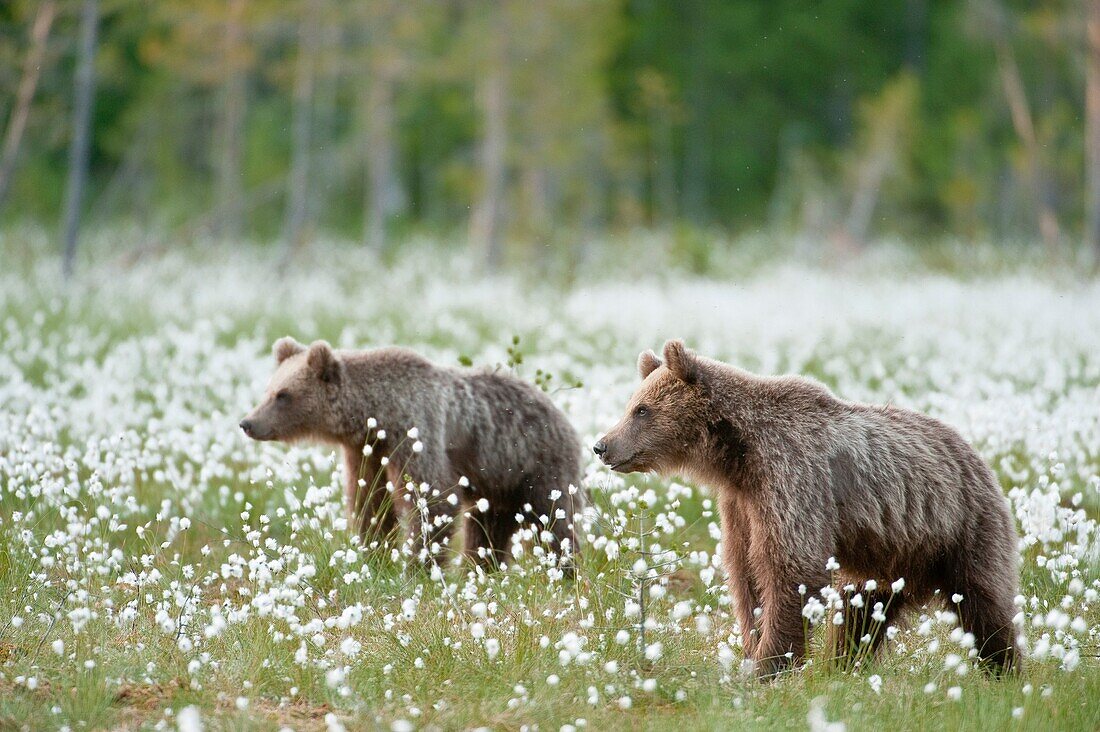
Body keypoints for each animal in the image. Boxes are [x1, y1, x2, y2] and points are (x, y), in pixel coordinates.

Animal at [240, 336, 585, 572]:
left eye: (283, 395)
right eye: (269, 390)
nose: (248, 423)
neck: (377, 414)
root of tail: (561, 415)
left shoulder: (415, 431)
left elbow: (432, 499)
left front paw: (418, 567)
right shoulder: (366, 450)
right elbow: (370, 502)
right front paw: (374, 553)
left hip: (537, 464)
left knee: (553, 519)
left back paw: (565, 570)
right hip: (497, 482)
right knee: (488, 526)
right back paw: (481, 569)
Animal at [594, 339, 1020, 678]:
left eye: (642, 410)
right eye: (632, 405)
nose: (602, 445)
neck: (738, 455)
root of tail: (977, 457)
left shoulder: (792, 476)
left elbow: (790, 565)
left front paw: (768, 664)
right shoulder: (742, 503)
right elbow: (745, 571)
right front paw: (752, 649)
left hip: (962, 525)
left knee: (985, 602)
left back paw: (1004, 668)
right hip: (889, 557)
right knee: (862, 609)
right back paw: (843, 664)